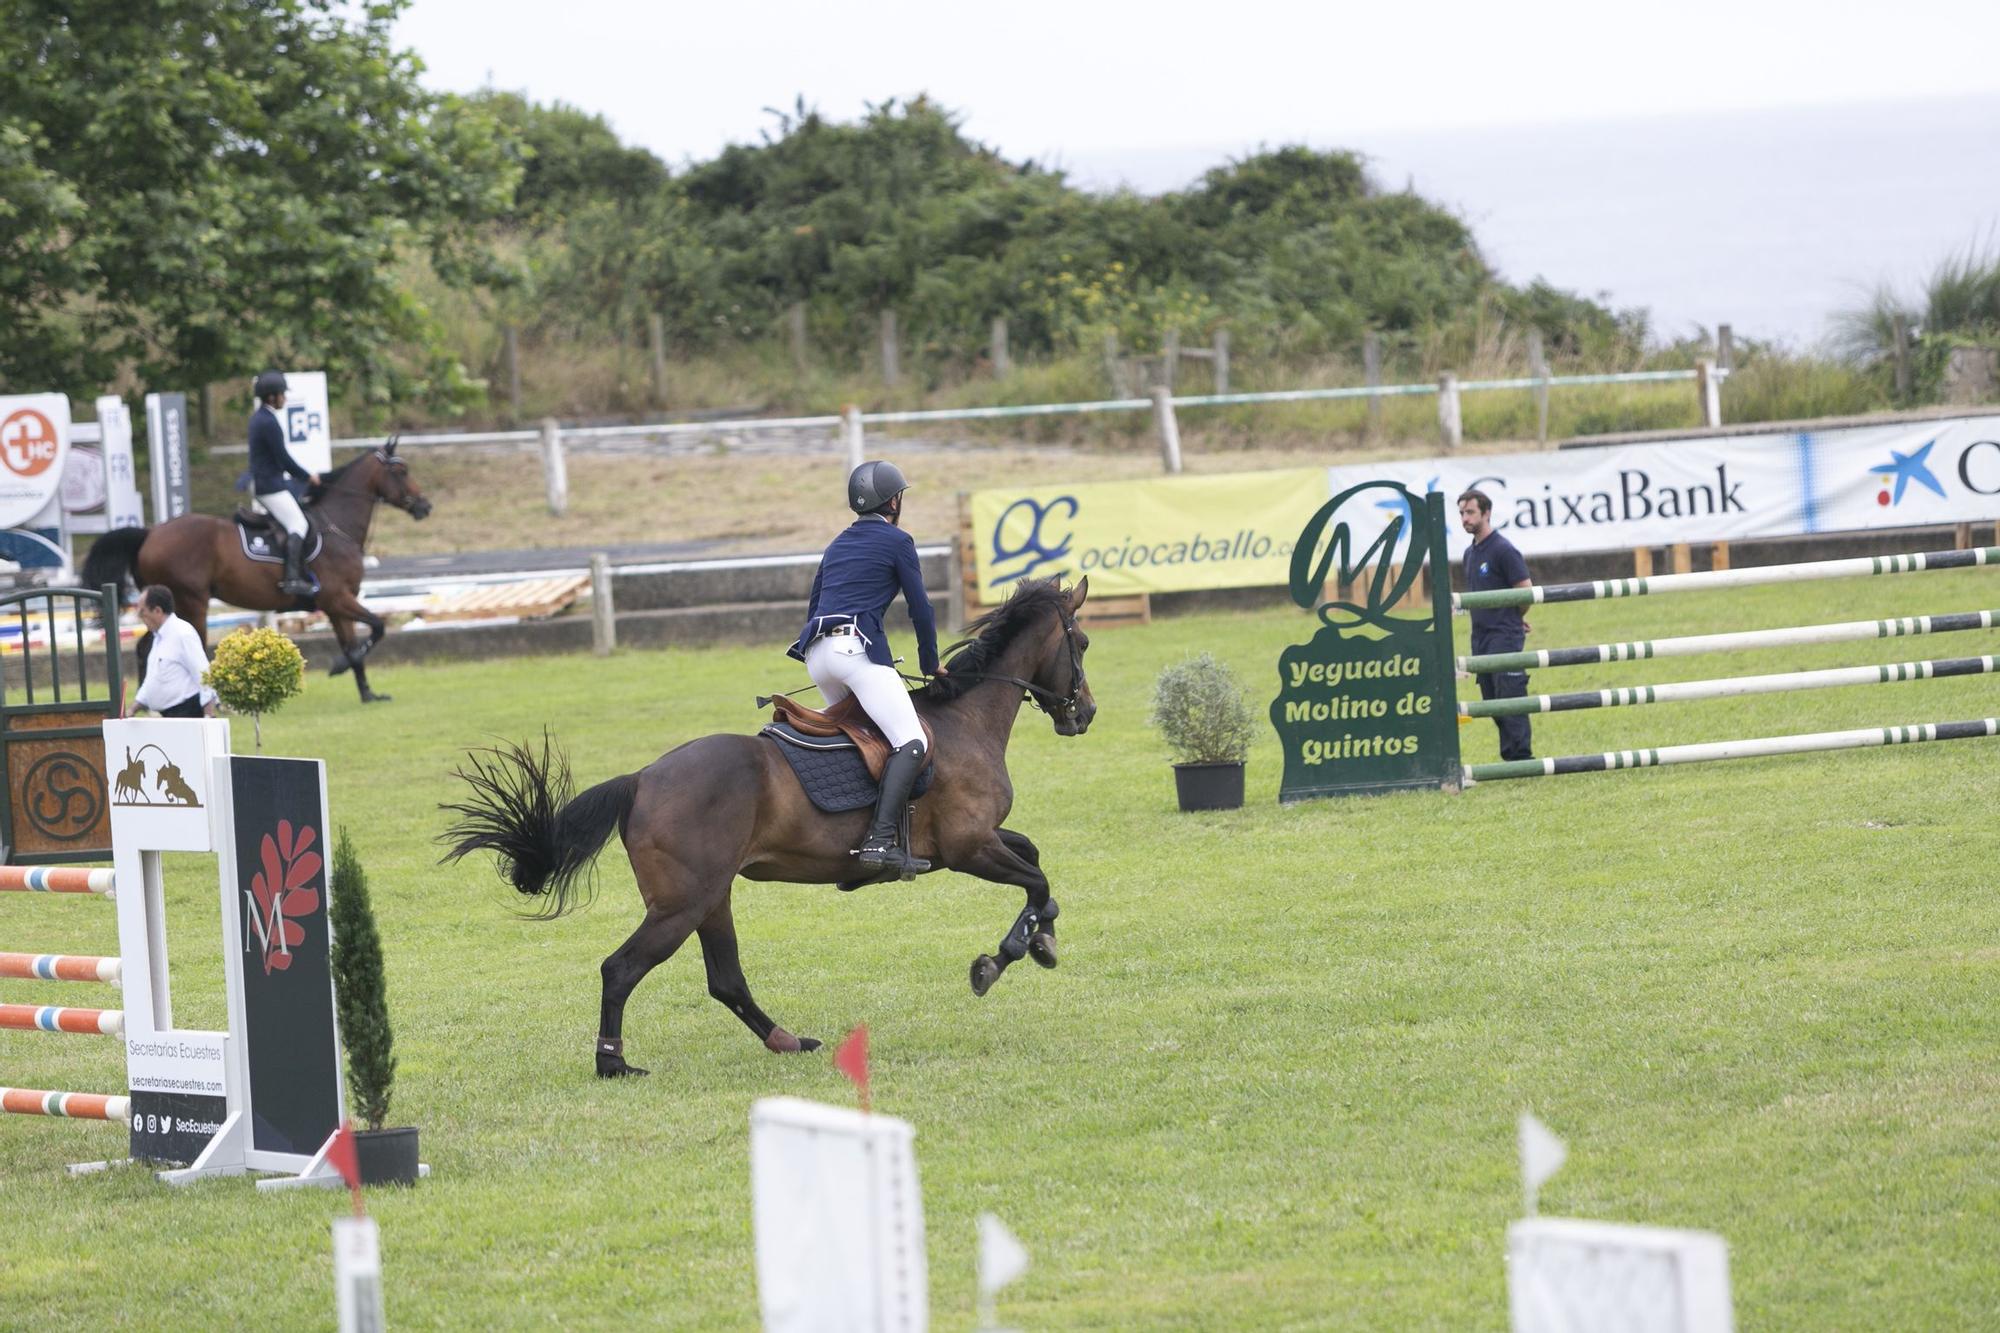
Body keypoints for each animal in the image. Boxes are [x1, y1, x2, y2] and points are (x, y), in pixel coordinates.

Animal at [85, 438, 434, 704]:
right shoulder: (337, 599)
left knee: (147, 646)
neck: (338, 527)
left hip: (169, 608)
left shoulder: (337, 607)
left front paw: (367, 693)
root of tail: (150, 533)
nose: (425, 506)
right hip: (191, 604)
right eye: (401, 471)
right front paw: (337, 667)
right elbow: (378, 627)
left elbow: (354, 646)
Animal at [440, 576, 1104, 1072]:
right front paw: (1004, 956)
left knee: (725, 980)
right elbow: (1036, 879)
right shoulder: (969, 848)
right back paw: (613, 1063)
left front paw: (1041, 935)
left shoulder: (972, 843)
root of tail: (643, 778)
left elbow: (1035, 859)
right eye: (1084, 642)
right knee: (622, 968)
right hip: (683, 904)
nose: (1086, 714)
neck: (965, 718)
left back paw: (787, 1040)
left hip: (711, 897)